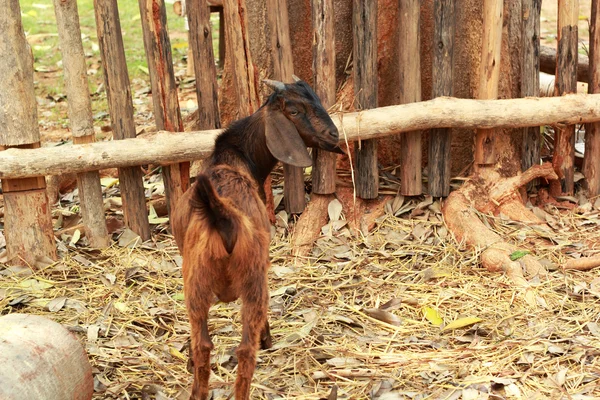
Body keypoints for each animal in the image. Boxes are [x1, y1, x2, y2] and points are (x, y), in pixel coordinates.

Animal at [171, 76, 344, 400]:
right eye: (294, 110)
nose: (333, 134)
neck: (233, 156)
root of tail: (222, 218)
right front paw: (268, 338)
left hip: (197, 283)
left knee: (205, 345)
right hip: (252, 279)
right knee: (244, 349)